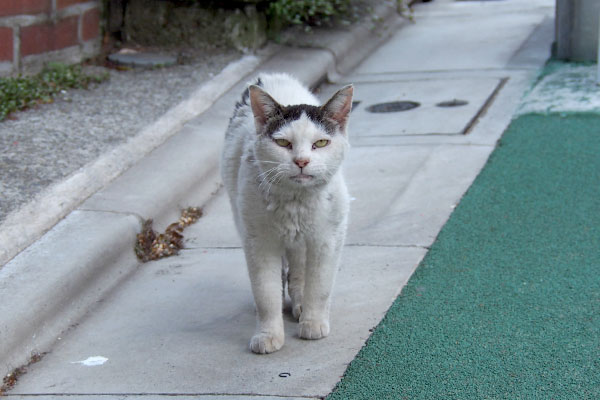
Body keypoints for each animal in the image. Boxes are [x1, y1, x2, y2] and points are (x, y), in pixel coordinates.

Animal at [220, 72, 352, 354]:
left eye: (320, 143)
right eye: (282, 142)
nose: (301, 161)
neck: (295, 201)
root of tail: (269, 76)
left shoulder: (328, 238)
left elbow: (320, 285)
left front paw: (313, 322)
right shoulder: (258, 242)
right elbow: (265, 293)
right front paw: (268, 334)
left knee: (300, 268)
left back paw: (300, 303)